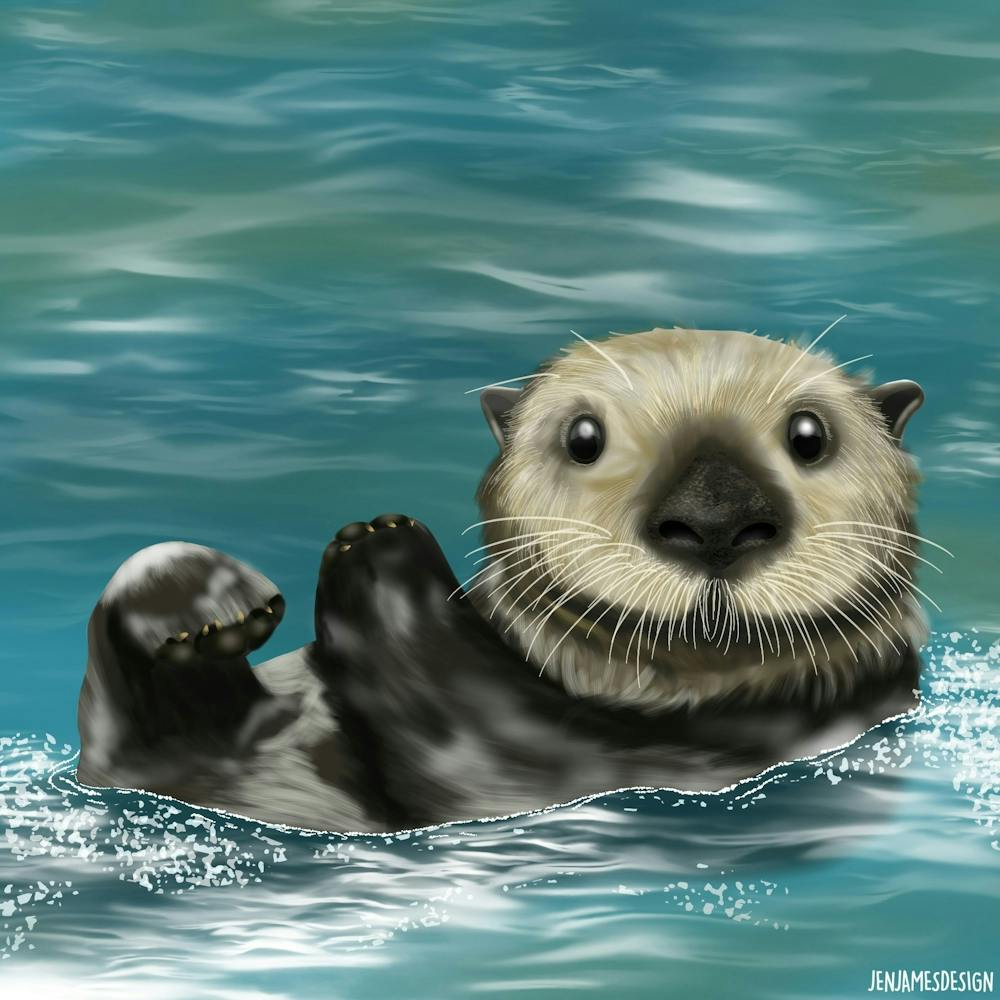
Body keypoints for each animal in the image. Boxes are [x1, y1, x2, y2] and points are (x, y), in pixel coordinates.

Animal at [76, 326, 932, 832]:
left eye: (809, 436)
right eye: (583, 436)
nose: (715, 517)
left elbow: (461, 731)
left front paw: (377, 542)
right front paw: (199, 601)